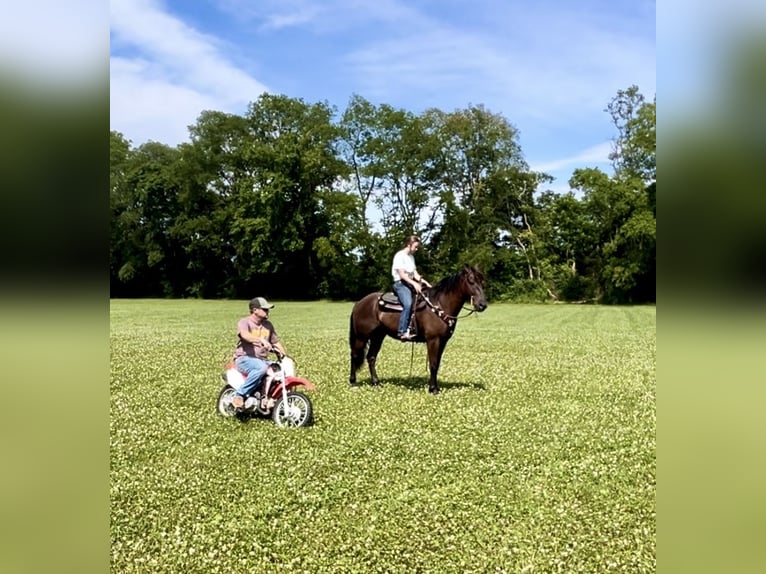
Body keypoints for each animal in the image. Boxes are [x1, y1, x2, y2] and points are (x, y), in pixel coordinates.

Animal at [350, 266, 488, 396]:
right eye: (471, 281)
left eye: (482, 281)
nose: (482, 305)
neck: (440, 305)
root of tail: (359, 303)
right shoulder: (433, 340)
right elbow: (433, 364)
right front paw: (433, 389)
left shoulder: (443, 341)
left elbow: (437, 364)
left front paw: (435, 387)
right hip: (361, 337)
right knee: (355, 355)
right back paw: (353, 382)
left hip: (378, 336)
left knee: (371, 357)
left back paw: (376, 382)